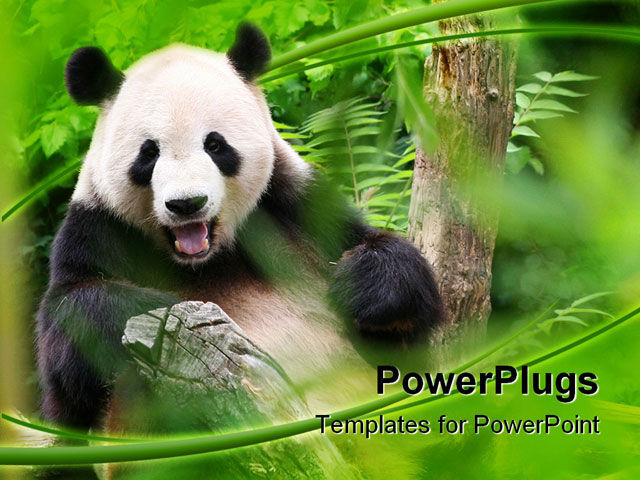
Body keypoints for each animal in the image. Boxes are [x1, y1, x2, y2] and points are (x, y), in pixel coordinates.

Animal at [36, 23, 443, 439]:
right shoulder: (98, 229)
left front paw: (364, 287)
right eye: (148, 153)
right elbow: (69, 332)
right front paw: (159, 307)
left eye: (215, 145)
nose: (187, 204)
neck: (204, 260)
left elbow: (396, 301)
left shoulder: (294, 207)